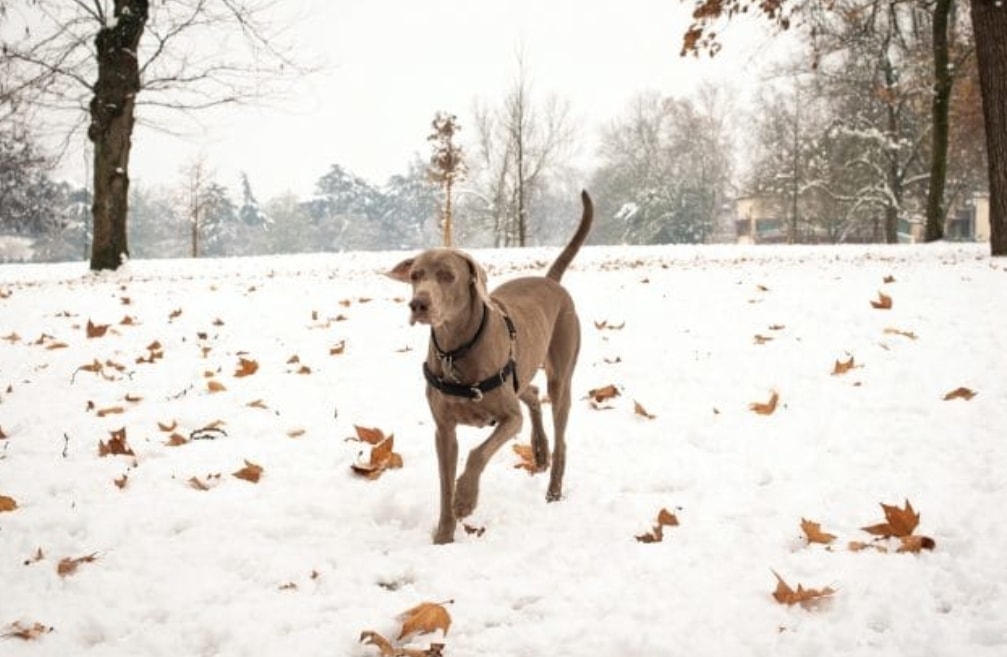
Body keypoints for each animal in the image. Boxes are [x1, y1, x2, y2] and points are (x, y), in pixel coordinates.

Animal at [386, 191, 592, 544]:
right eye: (415, 275)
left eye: (447, 275)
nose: (418, 304)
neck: (456, 350)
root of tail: (550, 281)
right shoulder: (444, 430)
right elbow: (444, 484)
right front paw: (444, 535)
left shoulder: (509, 418)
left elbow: (477, 454)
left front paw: (465, 500)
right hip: (520, 373)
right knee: (531, 391)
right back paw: (539, 450)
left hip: (561, 376)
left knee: (560, 432)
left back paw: (553, 490)